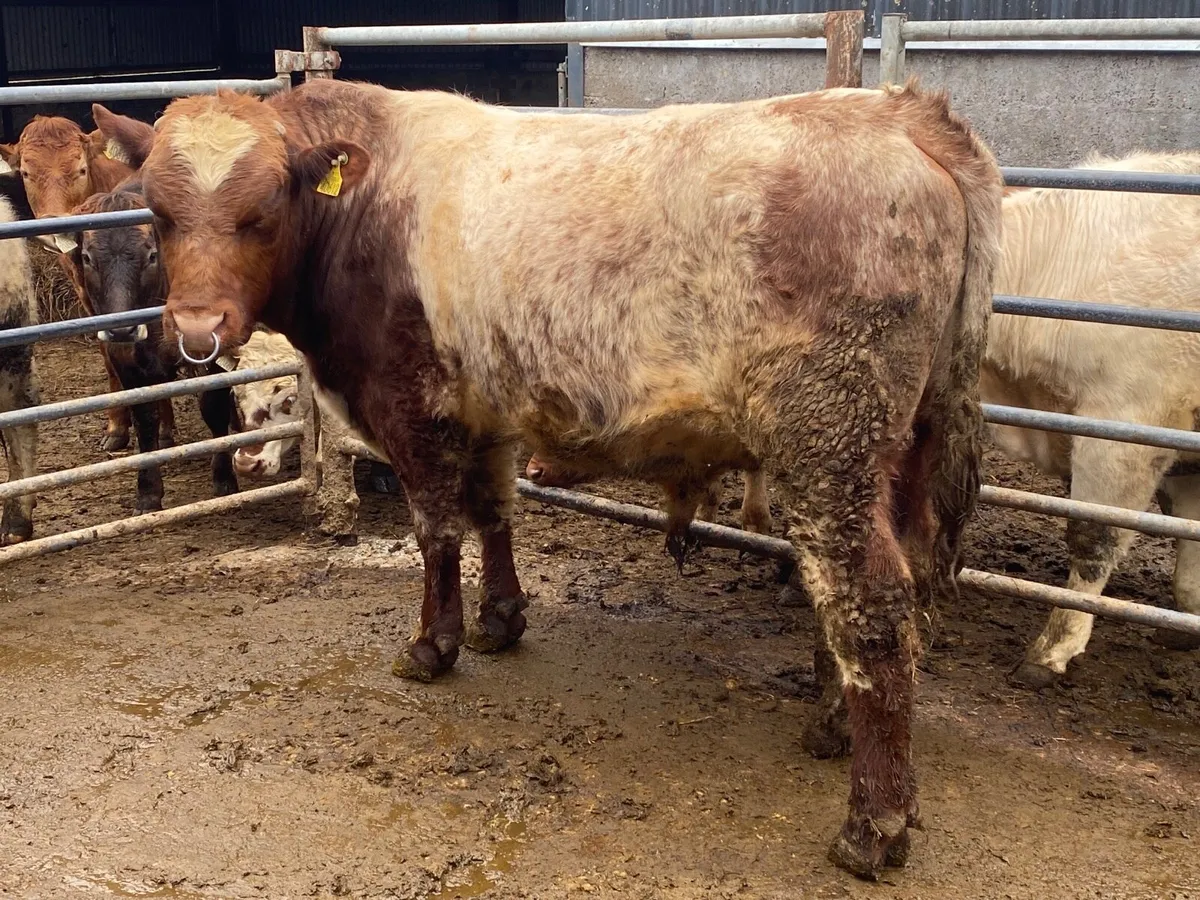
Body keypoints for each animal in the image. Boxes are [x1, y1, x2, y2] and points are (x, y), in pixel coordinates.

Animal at [1, 114, 174, 452]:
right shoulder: (92, 305)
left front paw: (165, 427)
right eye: (26, 173)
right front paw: (117, 428)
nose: (53, 225)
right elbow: (110, 357)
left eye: (81, 169)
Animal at [66, 186, 240, 509]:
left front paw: (224, 478)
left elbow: (213, 406)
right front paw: (148, 492)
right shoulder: (126, 361)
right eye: (87, 257)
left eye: (151, 255)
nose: (121, 328)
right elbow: (144, 419)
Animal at [99, 78, 1002, 877]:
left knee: (872, 605)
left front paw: (433, 644)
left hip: (830, 440)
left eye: (261, 212)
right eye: (160, 216)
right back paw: (833, 724)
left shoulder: (412, 400)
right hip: (905, 446)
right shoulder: (489, 401)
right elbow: (494, 509)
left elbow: (436, 527)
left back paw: (873, 823)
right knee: (897, 585)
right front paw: (500, 618)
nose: (198, 328)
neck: (368, 205)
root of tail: (900, 112)